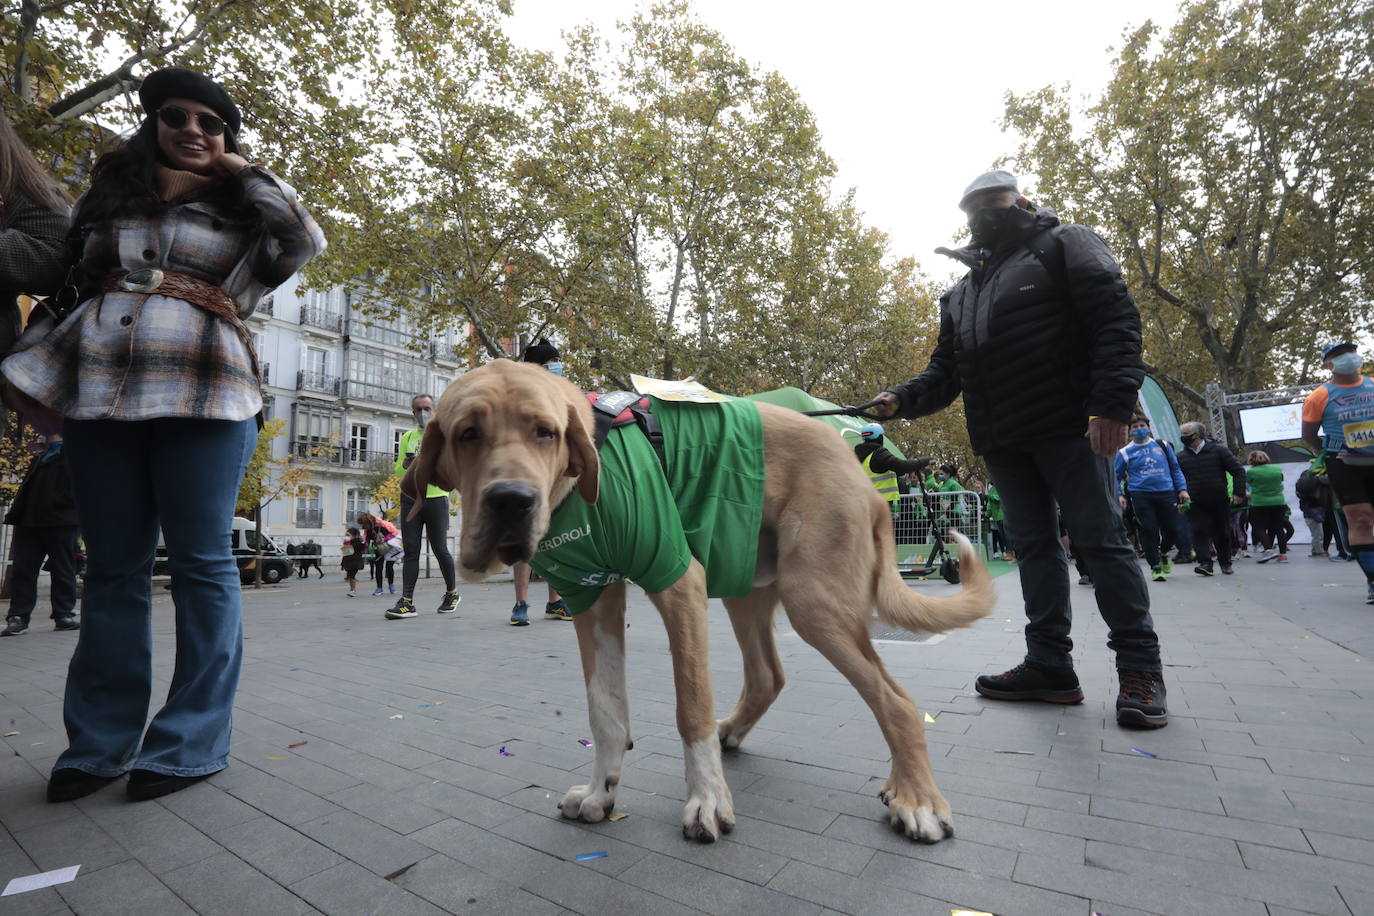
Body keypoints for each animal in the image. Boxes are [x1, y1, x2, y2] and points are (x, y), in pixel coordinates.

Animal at [401, 362, 994, 845]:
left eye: (544, 432)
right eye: (467, 434)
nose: (511, 501)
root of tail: (865, 478)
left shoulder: (677, 582)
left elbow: (692, 709)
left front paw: (707, 801)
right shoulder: (592, 600)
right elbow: (605, 711)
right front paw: (600, 795)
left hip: (814, 603)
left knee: (894, 700)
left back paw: (918, 802)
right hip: (743, 584)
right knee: (771, 676)